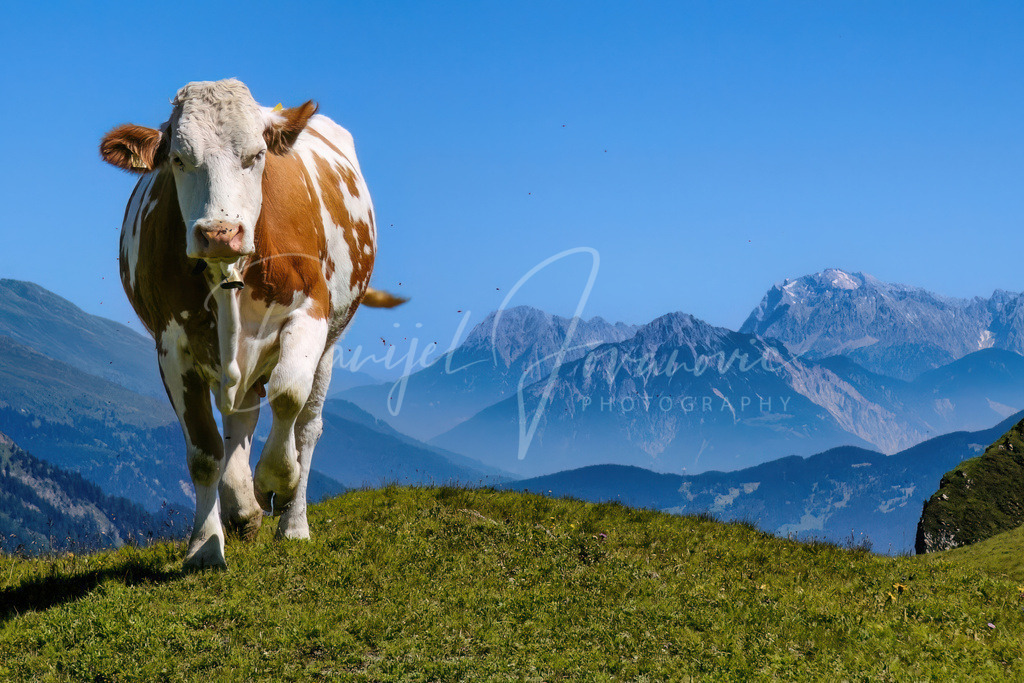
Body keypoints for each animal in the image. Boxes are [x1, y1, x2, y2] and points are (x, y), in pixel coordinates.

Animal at [100, 79, 403, 570]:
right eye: (178, 158)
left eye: (256, 155)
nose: (219, 232)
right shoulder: (171, 346)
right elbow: (205, 451)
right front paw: (206, 544)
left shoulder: (309, 312)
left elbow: (288, 396)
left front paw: (274, 481)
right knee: (238, 417)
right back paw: (240, 505)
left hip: (328, 345)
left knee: (307, 426)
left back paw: (291, 522)